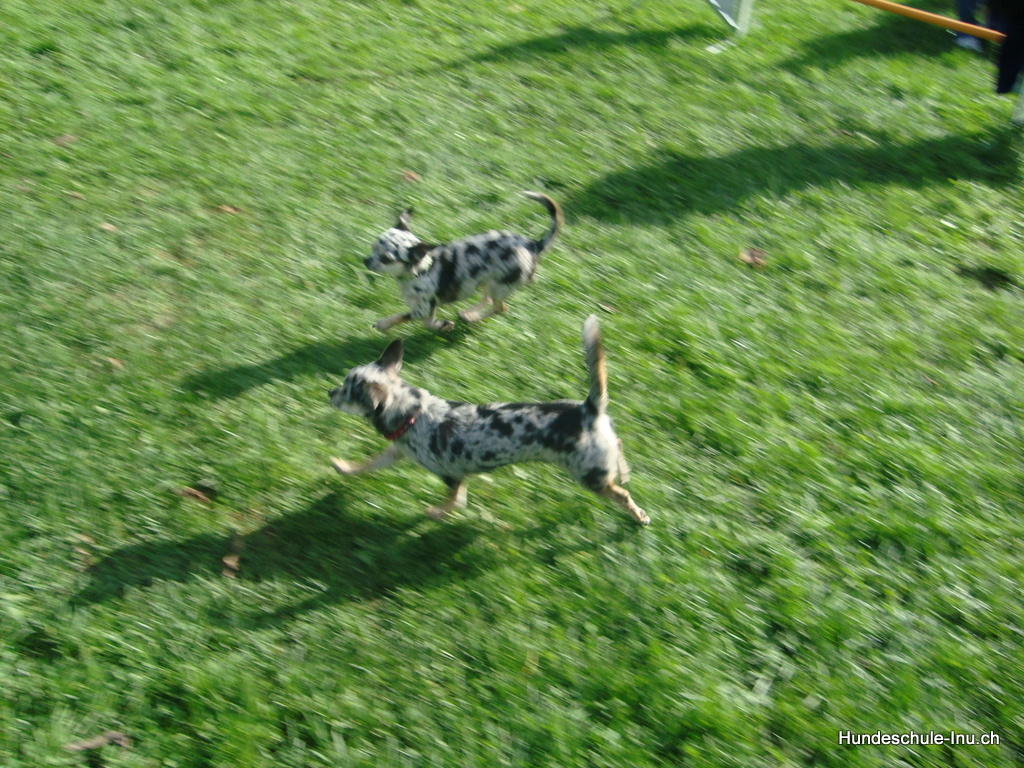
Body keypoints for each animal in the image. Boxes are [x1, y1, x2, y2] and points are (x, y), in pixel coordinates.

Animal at [329, 315, 649, 525]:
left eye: (347, 392)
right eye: (343, 384)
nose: (330, 392)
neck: (413, 413)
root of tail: (588, 409)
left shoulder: (452, 477)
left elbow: (454, 502)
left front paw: (435, 513)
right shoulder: (396, 452)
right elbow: (368, 463)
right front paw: (342, 466)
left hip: (590, 478)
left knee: (622, 494)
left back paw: (639, 516)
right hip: (600, 457)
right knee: (619, 448)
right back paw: (624, 470)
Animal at [364, 192, 562, 333]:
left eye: (386, 259)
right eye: (373, 247)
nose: (365, 261)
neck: (421, 269)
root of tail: (533, 245)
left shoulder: (423, 308)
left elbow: (405, 316)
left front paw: (383, 324)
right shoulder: (426, 309)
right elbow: (428, 323)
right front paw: (444, 326)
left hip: (500, 286)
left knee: (500, 308)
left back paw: (471, 318)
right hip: (488, 281)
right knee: (487, 300)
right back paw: (467, 313)